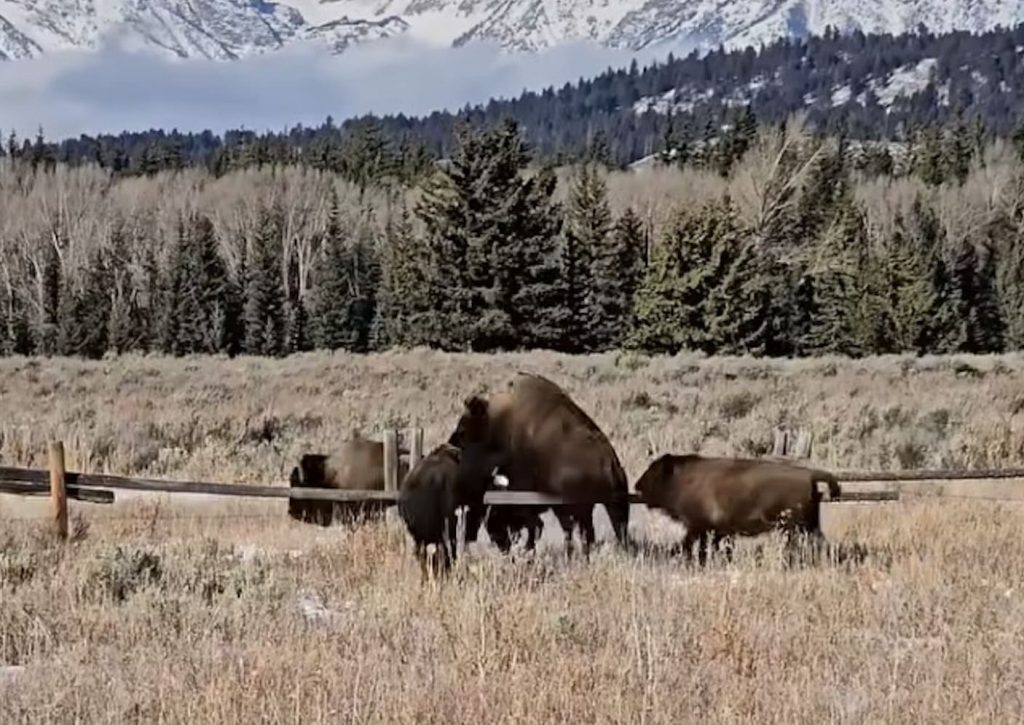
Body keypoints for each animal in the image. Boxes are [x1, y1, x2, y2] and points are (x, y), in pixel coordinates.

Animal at [447, 372, 630, 558]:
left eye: (462, 431)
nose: (452, 446)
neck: (496, 425)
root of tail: (609, 463)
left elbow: (536, 526)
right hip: (611, 508)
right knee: (608, 534)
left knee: (583, 534)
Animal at [634, 453, 841, 564]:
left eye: (654, 469)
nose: (637, 485)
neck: (683, 478)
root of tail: (809, 474)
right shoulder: (716, 532)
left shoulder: (698, 527)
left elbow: (690, 546)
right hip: (808, 526)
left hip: (792, 528)